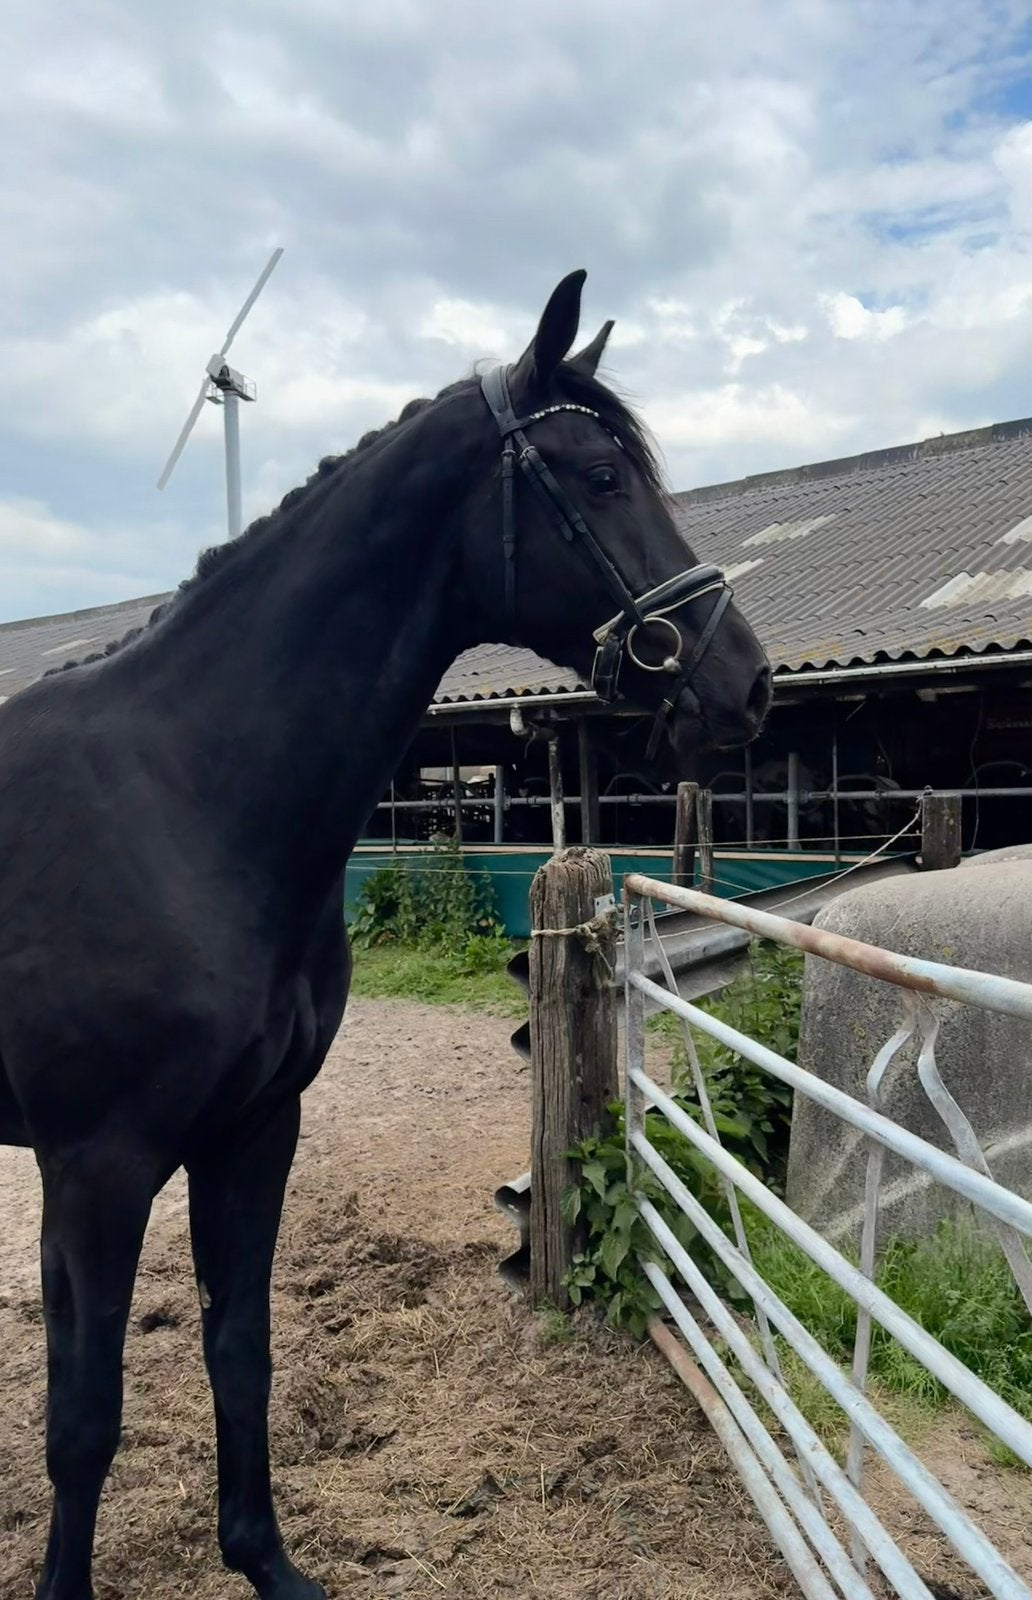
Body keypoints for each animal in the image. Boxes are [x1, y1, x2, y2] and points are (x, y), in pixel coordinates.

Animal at [0, 269, 771, 1600]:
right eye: (601, 476)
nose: (748, 678)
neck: (180, 800)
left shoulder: (254, 1132)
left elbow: (241, 1348)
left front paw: (266, 1560)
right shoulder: (96, 1164)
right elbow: (85, 1417)